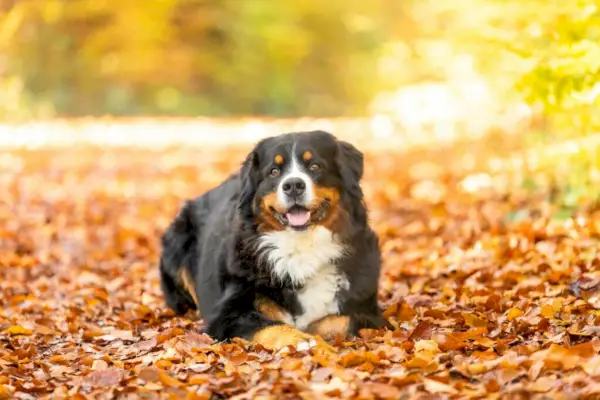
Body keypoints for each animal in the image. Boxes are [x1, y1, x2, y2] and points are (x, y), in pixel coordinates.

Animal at [158, 131, 384, 350]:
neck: (301, 247)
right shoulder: (227, 314)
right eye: (274, 171)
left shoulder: (368, 311)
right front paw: (301, 339)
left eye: (315, 166)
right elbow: (272, 326)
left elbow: (343, 320)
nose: (293, 185)